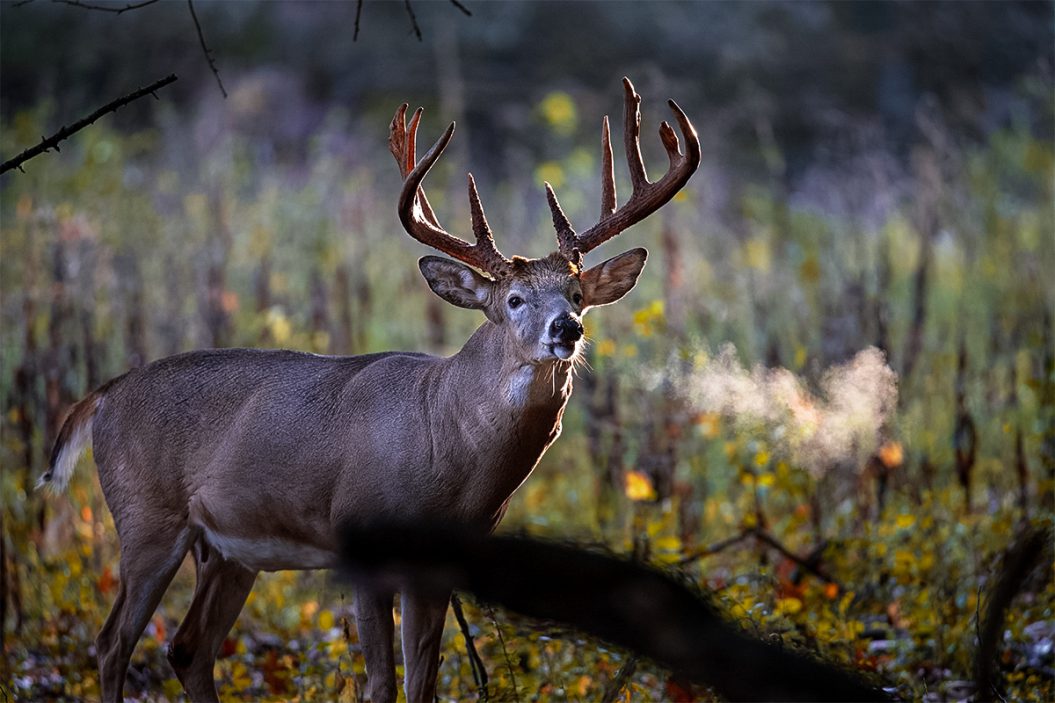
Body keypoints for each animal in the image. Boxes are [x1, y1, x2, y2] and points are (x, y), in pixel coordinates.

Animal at [43, 78, 700, 700]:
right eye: (514, 300)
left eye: (577, 293)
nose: (568, 328)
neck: (442, 442)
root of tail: (105, 394)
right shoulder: (360, 542)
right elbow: (381, 683)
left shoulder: (443, 566)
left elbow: (423, 683)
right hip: (146, 515)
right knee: (112, 642)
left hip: (225, 549)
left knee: (187, 649)